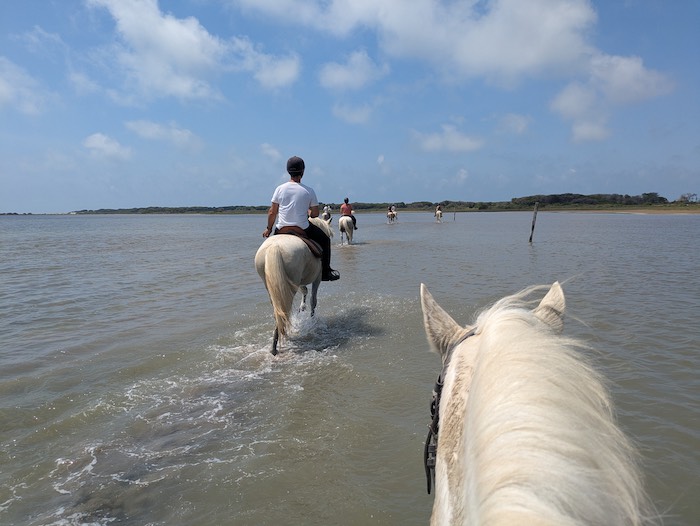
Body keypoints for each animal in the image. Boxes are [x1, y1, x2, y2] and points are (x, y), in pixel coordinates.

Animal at [254, 217, 333, 355]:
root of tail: (275, 247)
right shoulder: (317, 278)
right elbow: (313, 300)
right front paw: (312, 320)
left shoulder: (299, 282)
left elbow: (305, 290)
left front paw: (302, 307)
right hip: (290, 285)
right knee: (285, 309)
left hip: (272, 287)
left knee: (278, 311)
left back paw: (276, 344)